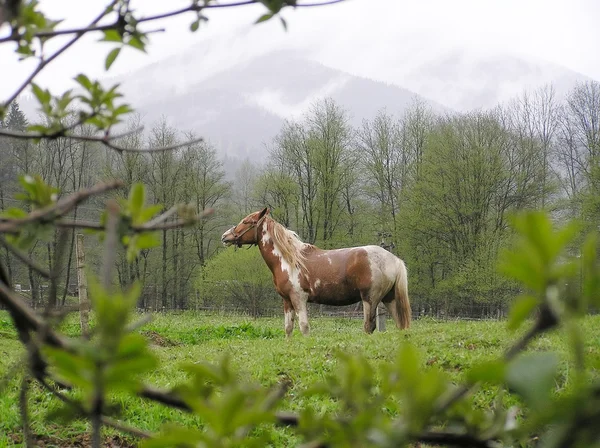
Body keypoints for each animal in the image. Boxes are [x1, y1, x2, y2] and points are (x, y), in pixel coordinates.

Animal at [221, 206, 412, 336]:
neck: (289, 260)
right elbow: (288, 328)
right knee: (399, 324)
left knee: (368, 326)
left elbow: (304, 327)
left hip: (370, 299)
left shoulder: (299, 299)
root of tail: (394, 260)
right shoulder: (287, 301)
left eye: (247, 221)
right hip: (389, 299)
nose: (225, 236)